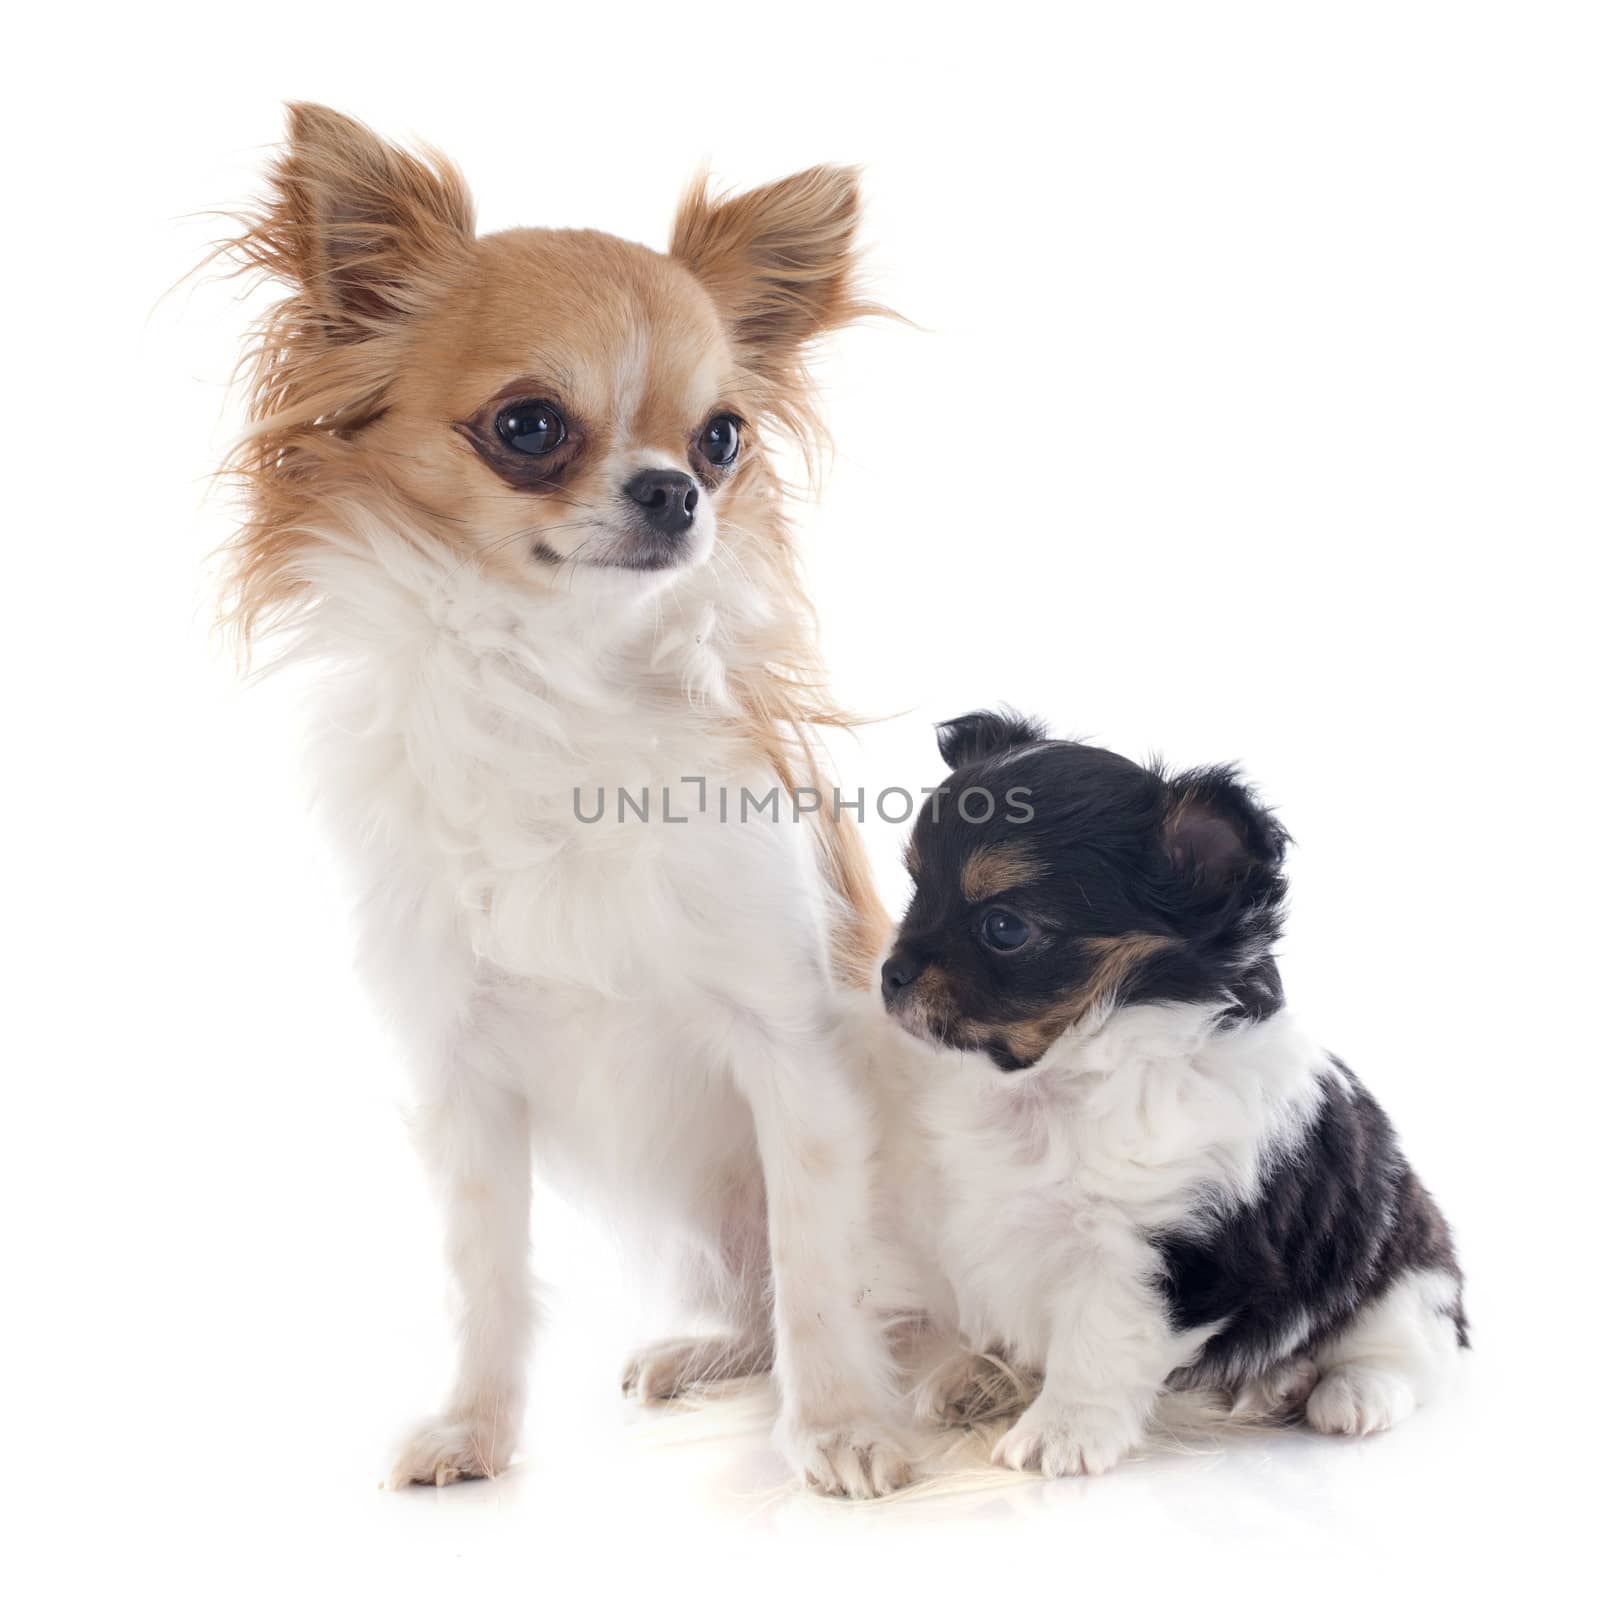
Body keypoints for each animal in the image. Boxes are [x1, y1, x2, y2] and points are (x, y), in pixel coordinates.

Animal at [217, 106, 908, 1491]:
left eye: (720, 437)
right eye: (529, 426)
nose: (675, 491)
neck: (557, 676)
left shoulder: (792, 1043)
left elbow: (821, 1260)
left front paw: (842, 1429)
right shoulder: (463, 1070)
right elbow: (482, 1272)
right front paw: (473, 1429)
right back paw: (718, 1352)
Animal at [876, 713, 1465, 1472]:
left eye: (1004, 928)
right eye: (917, 890)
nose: (890, 973)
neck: (1065, 1077)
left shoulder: (1155, 1253)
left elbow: (1095, 1347)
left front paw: (1059, 1434)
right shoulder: (991, 1220)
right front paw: (985, 1372)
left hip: (1404, 1272)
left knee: (1411, 1353)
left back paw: (1339, 1391)